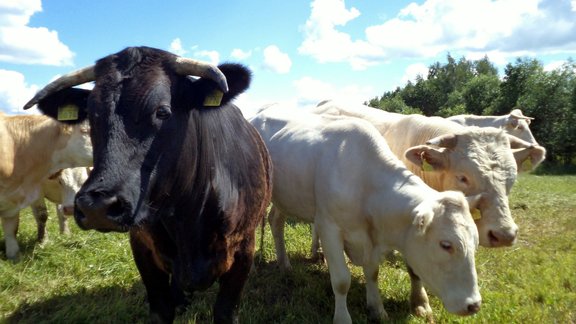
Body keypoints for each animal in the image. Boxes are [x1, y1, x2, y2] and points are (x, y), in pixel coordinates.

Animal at [0, 112, 92, 260]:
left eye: (84, 181)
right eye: (60, 181)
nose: (71, 209)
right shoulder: (37, 192)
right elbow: (42, 215)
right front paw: (43, 241)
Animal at [23, 46, 272, 324]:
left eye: (162, 111)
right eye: (91, 115)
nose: (96, 207)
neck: (187, 217)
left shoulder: (243, 251)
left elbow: (224, 311)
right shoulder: (143, 249)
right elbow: (162, 309)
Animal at [251, 105, 482, 322]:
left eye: (475, 242)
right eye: (446, 245)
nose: (474, 305)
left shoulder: (371, 237)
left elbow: (372, 272)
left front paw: (377, 309)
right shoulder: (328, 227)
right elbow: (341, 280)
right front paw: (342, 318)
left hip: (285, 197)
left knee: (276, 221)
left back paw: (284, 264)